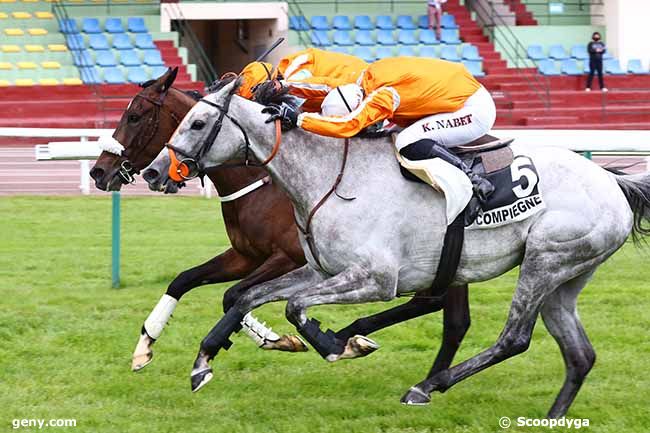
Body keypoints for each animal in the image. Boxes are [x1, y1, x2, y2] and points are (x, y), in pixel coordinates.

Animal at [88, 66, 470, 374]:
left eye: (135, 116)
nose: (98, 172)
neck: (264, 181)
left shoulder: (286, 257)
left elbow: (234, 295)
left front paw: (277, 339)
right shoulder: (246, 255)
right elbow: (186, 280)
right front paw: (144, 345)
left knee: (442, 312)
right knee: (445, 312)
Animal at [143, 79, 648, 416]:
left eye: (199, 122)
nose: (152, 172)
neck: (330, 179)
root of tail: (613, 180)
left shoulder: (375, 278)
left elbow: (294, 307)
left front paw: (338, 343)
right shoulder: (317, 269)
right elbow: (247, 297)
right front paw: (203, 360)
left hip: (544, 260)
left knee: (513, 338)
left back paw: (427, 385)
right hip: (566, 276)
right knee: (579, 354)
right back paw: (548, 415)